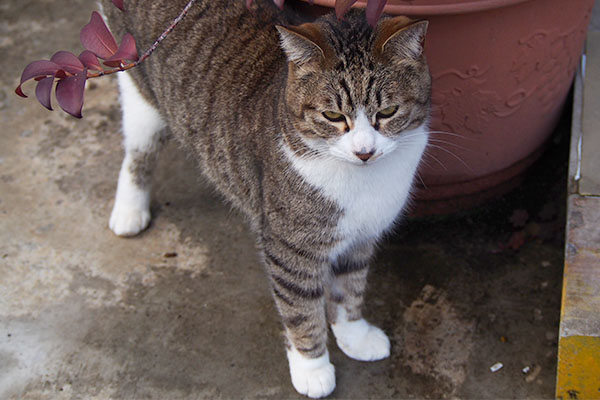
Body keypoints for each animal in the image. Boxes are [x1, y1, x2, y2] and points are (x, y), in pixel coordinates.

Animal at [101, 1, 428, 396]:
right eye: (333, 116)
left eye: (388, 112)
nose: (364, 151)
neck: (363, 181)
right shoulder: (290, 248)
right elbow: (301, 310)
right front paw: (312, 368)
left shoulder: (362, 237)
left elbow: (350, 289)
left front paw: (355, 336)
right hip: (138, 88)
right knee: (139, 149)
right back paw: (129, 211)